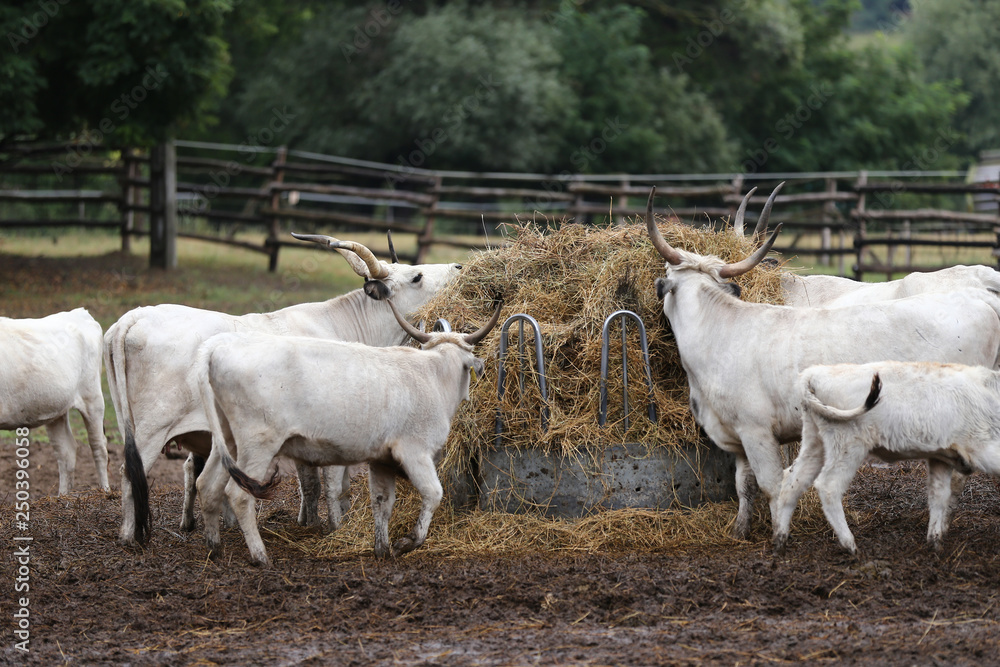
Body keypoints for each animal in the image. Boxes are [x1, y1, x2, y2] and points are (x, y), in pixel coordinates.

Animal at [2, 308, 108, 494]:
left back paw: (106, 492)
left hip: (93, 398)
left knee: (99, 447)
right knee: (66, 452)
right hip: (56, 409)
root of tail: (80, 312)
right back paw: (62, 497)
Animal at [106, 235, 463, 545]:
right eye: (416, 277)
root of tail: (135, 316)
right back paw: (130, 536)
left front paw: (310, 520)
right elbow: (330, 484)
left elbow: (316, 484)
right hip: (153, 429)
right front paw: (333, 527)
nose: (459, 267)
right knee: (130, 473)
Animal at [195, 298, 502, 566]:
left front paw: (382, 548)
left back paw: (214, 549)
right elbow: (433, 494)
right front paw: (407, 543)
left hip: (228, 442)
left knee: (206, 485)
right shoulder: (415, 452)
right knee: (238, 495)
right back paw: (260, 556)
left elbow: (382, 502)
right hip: (258, 444)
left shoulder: (381, 459)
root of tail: (218, 347)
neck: (433, 376)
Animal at [773, 361, 1000, 556]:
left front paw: (935, 542)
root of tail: (814, 373)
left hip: (815, 443)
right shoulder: (983, 446)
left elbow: (939, 496)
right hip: (848, 445)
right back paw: (849, 545)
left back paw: (780, 539)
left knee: (792, 483)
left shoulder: (941, 457)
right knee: (828, 486)